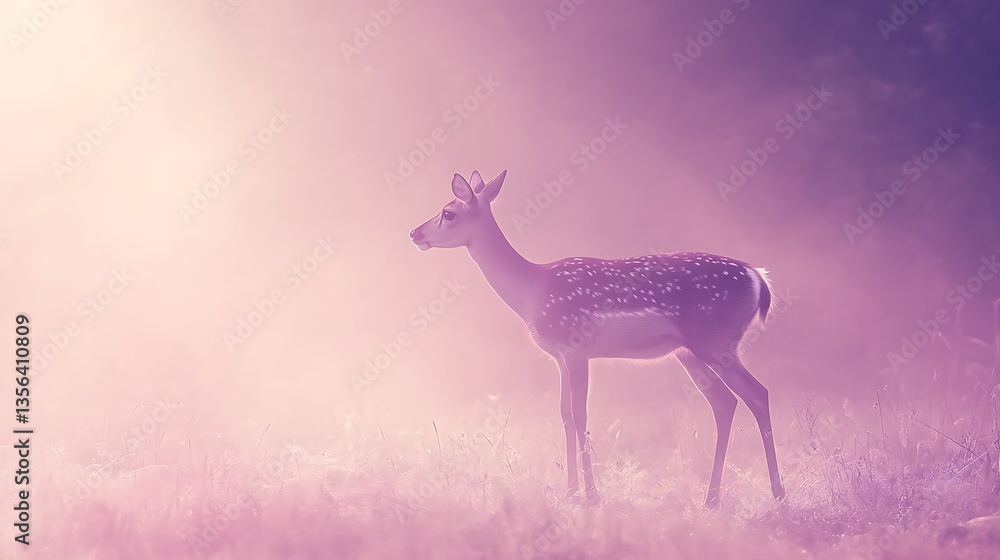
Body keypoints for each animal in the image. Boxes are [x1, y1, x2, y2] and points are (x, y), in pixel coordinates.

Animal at [408, 169, 784, 508]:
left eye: (448, 212)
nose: (414, 232)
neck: (532, 292)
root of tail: (759, 277)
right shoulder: (560, 356)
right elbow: (564, 415)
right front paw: (571, 493)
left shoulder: (576, 346)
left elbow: (581, 415)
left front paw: (590, 495)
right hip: (691, 351)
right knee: (726, 402)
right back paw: (714, 498)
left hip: (715, 342)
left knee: (757, 393)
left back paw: (775, 494)